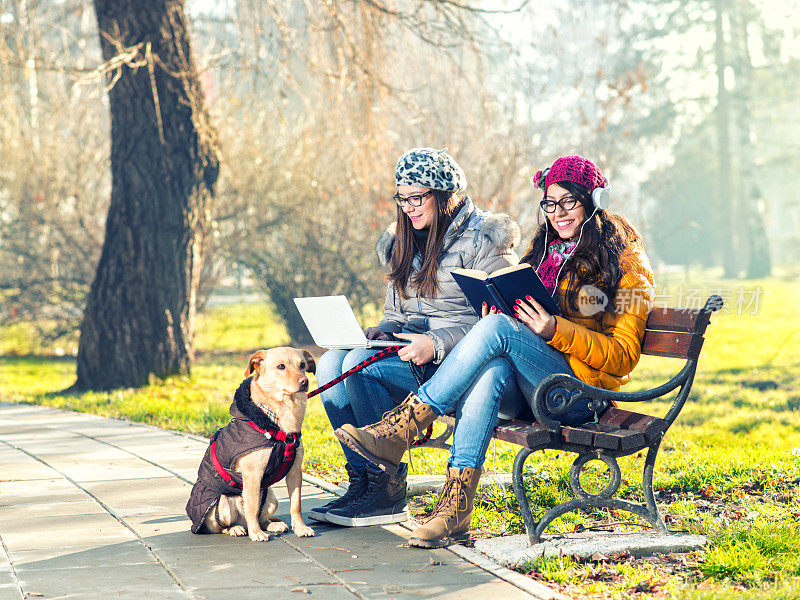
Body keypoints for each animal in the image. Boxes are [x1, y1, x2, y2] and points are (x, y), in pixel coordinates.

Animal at [185, 346, 316, 540]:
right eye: (281, 366)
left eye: (302, 365)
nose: (305, 381)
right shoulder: (253, 475)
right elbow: (252, 507)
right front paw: (256, 534)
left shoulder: (294, 472)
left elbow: (296, 504)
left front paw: (300, 528)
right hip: (222, 504)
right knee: (226, 524)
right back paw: (238, 529)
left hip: (271, 498)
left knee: (262, 517)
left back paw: (273, 525)